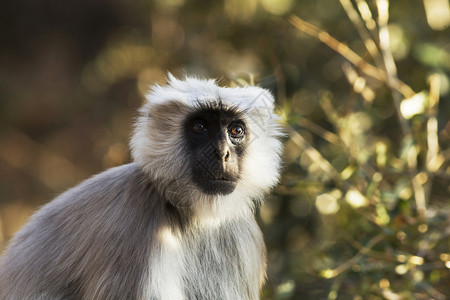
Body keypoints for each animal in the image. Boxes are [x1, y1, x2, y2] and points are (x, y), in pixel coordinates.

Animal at [0, 75, 282, 300]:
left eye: (236, 131)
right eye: (200, 126)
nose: (222, 153)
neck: (193, 216)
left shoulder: (241, 233)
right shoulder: (134, 224)